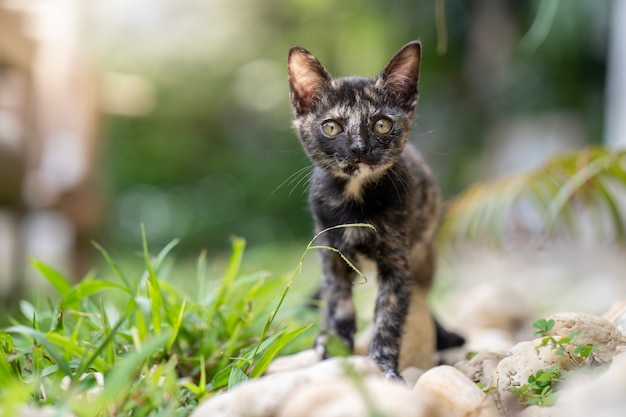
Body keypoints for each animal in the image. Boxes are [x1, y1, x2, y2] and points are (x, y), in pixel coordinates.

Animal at [286, 39, 460, 376]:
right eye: (331, 127)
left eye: (382, 124)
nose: (359, 148)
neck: (355, 201)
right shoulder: (332, 260)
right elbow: (339, 309)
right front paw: (334, 355)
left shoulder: (398, 266)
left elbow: (388, 320)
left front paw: (384, 368)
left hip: (423, 257)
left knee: (422, 299)